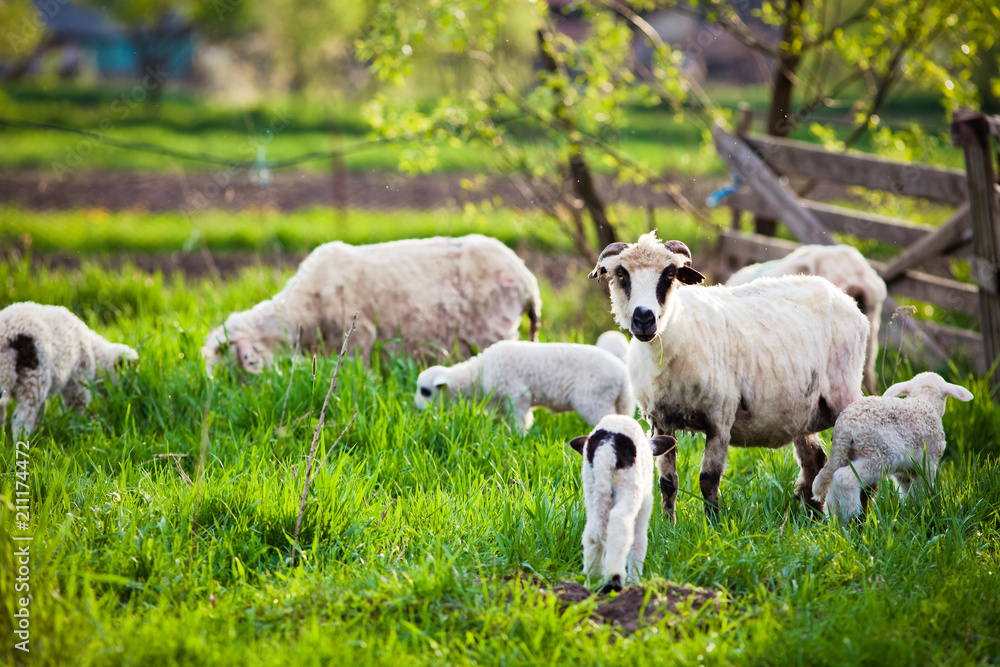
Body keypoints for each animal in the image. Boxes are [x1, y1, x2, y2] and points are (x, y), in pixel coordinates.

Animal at [0, 302, 138, 438]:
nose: (129, 394)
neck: (95, 353)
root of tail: (8, 335)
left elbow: (40, 412)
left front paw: (38, 430)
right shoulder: (79, 378)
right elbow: (77, 404)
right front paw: (77, 425)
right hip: (34, 378)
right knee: (21, 419)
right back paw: (23, 441)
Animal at [414, 340, 635, 432]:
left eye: (425, 391)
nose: (418, 410)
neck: (478, 374)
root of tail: (623, 374)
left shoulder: (518, 395)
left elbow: (520, 420)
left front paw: (518, 436)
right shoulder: (500, 402)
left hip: (594, 400)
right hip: (621, 402)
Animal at [569, 415, 676, 593]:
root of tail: (607, 447)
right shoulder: (645, 503)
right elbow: (639, 541)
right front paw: (635, 582)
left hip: (593, 487)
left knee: (593, 533)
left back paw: (593, 580)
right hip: (629, 486)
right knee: (620, 524)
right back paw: (615, 578)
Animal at [589, 232, 869, 521]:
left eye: (669, 275)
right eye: (622, 274)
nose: (644, 318)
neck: (675, 331)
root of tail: (844, 297)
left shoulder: (720, 417)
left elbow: (708, 479)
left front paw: (712, 524)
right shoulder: (661, 420)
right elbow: (667, 482)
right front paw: (669, 524)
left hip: (844, 394)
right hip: (803, 410)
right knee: (815, 461)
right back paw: (812, 519)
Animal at [811, 372, 974, 522]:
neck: (925, 403)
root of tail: (845, 426)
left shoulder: (904, 471)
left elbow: (909, 490)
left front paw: (912, 508)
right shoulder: (929, 462)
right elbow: (924, 487)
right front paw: (926, 505)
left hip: (846, 454)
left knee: (833, 488)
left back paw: (836, 521)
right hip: (878, 454)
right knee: (843, 478)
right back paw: (851, 514)